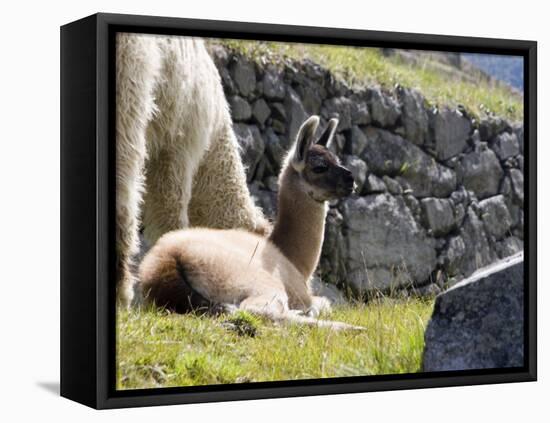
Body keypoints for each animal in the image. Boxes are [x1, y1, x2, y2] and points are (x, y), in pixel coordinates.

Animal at [139, 116, 362, 332]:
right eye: (320, 167)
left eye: (336, 159)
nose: (351, 179)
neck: (291, 257)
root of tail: (168, 259)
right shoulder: (300, 292)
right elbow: (323, 303)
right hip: (251, 279)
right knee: (256, 310)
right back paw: (349, 327)